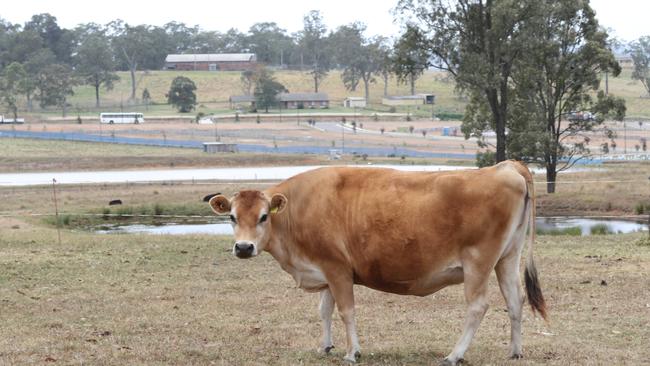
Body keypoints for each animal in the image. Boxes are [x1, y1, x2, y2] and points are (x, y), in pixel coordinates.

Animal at [210, 162, 544, 364]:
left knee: (478, 306)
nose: (243, 247)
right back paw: (515, 351)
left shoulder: (337, 268)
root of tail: (505, 167)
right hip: (507, 259)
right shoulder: (326, 269)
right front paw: (325, 346)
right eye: (232, 217)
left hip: (478, 262)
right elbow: (324, 311)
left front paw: (352, 352)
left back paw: (454, 354)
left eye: (264, 216)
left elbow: (346, 311)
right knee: (515, 300)